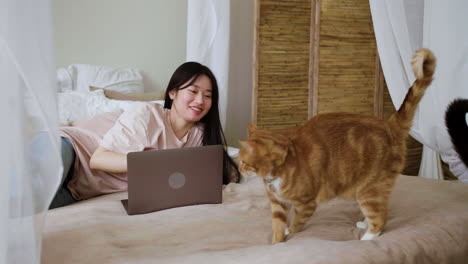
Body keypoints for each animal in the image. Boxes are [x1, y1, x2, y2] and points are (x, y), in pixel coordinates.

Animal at [239, 49, 436, 243]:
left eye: (243, 161)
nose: (240, 170)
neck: (280, 169)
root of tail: (389, 124)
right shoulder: (278, 204)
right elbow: (277, 228)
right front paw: (276, 243)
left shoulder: (306, 204)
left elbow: (296, 223)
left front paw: (290, 231)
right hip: (371, 190)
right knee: (381, 209)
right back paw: (364, 224)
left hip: (370, 189)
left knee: (380, 218)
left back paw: (366, 238)